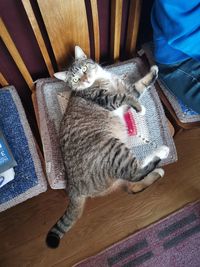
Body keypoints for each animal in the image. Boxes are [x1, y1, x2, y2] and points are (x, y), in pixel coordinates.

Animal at [46, 46, 170, 249]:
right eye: (74, 79)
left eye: (83, 69)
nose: (85, 79)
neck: (100, 78)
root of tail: (73, 188)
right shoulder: (108, 99)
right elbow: (126, 97)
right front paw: (140, 108)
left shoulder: (127, 87)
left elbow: (139, 86)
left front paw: (153, 70)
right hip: (113, 148)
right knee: (134, 173)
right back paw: (161, 152)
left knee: (132, 186)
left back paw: (157, 172)